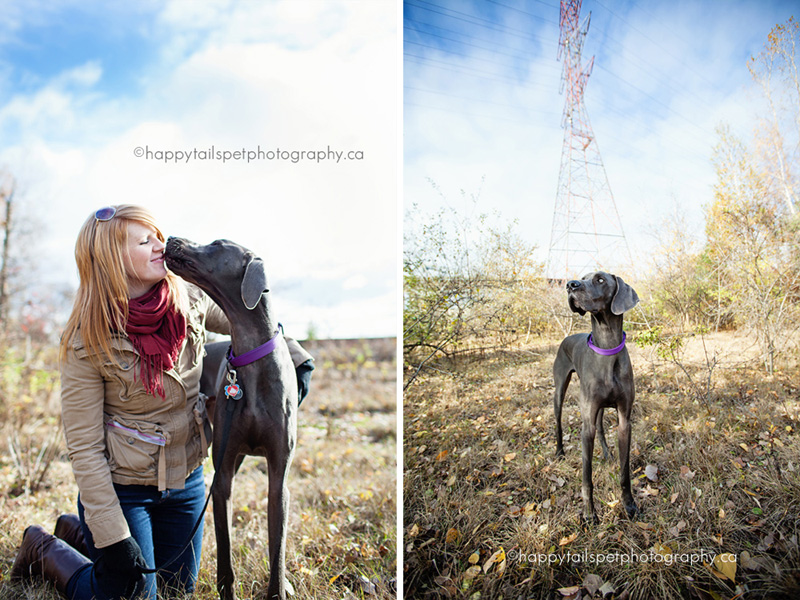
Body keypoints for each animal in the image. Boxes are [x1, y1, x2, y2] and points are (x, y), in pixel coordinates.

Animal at [166, 237, 296, 596]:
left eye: (217, 244)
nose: (170, 239)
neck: (250, 358)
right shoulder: (223, 474)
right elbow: (225, 547)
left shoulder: (279, 478)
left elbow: (277, 549)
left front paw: (278, 590)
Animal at [552, 270, 640, 524]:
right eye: (582, 277)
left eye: (600, 279)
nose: (570, 285)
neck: (607, 349)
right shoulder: (586, 426)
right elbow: (586, 477)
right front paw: (589, 513)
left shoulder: (624, 420)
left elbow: (624, 472)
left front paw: (629, 504)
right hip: (559, 391)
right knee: (558, 422)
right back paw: (559, 452)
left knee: (601, 427)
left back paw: (607, 453)